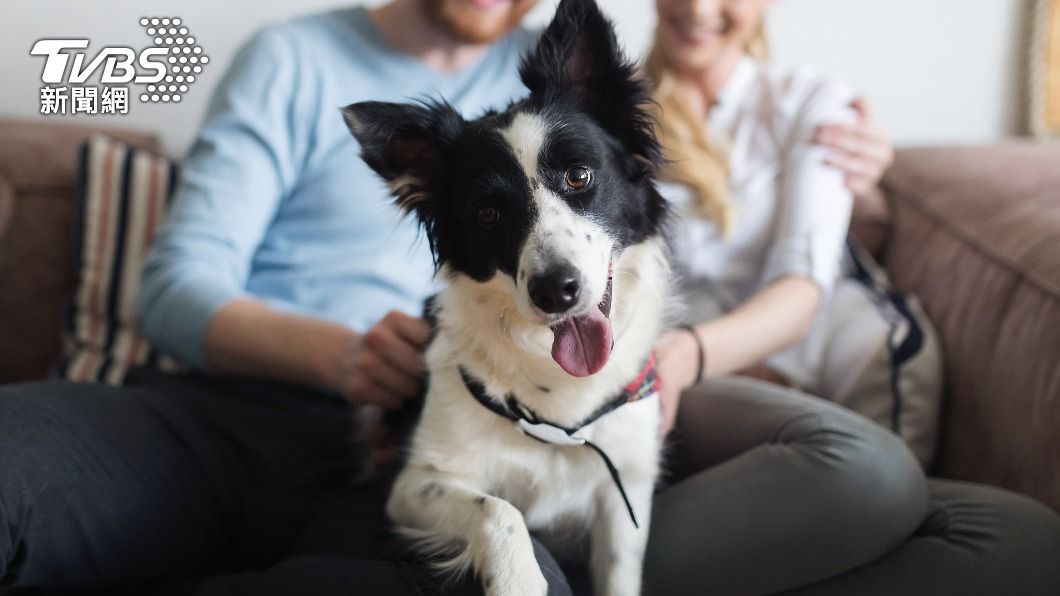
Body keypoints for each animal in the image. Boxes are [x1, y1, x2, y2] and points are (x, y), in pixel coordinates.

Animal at [343, 2, 665, 589]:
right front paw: (519, 579)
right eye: (487, 214)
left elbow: (619, 573)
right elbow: (499, 510)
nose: (555, 290)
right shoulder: (416, 484)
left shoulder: (624, 492)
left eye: (579, 175)